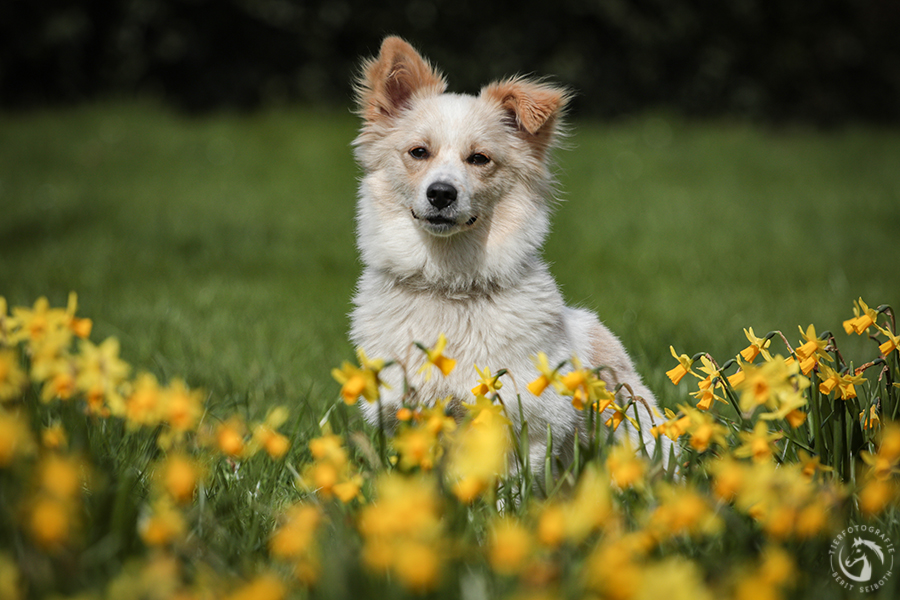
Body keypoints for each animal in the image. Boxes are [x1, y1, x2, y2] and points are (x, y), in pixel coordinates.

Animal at [348, 36, 672, 474]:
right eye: (418, 152)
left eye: (479, 159)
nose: (441, 193)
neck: (449, 284)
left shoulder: (529, 423)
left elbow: (508, 483)